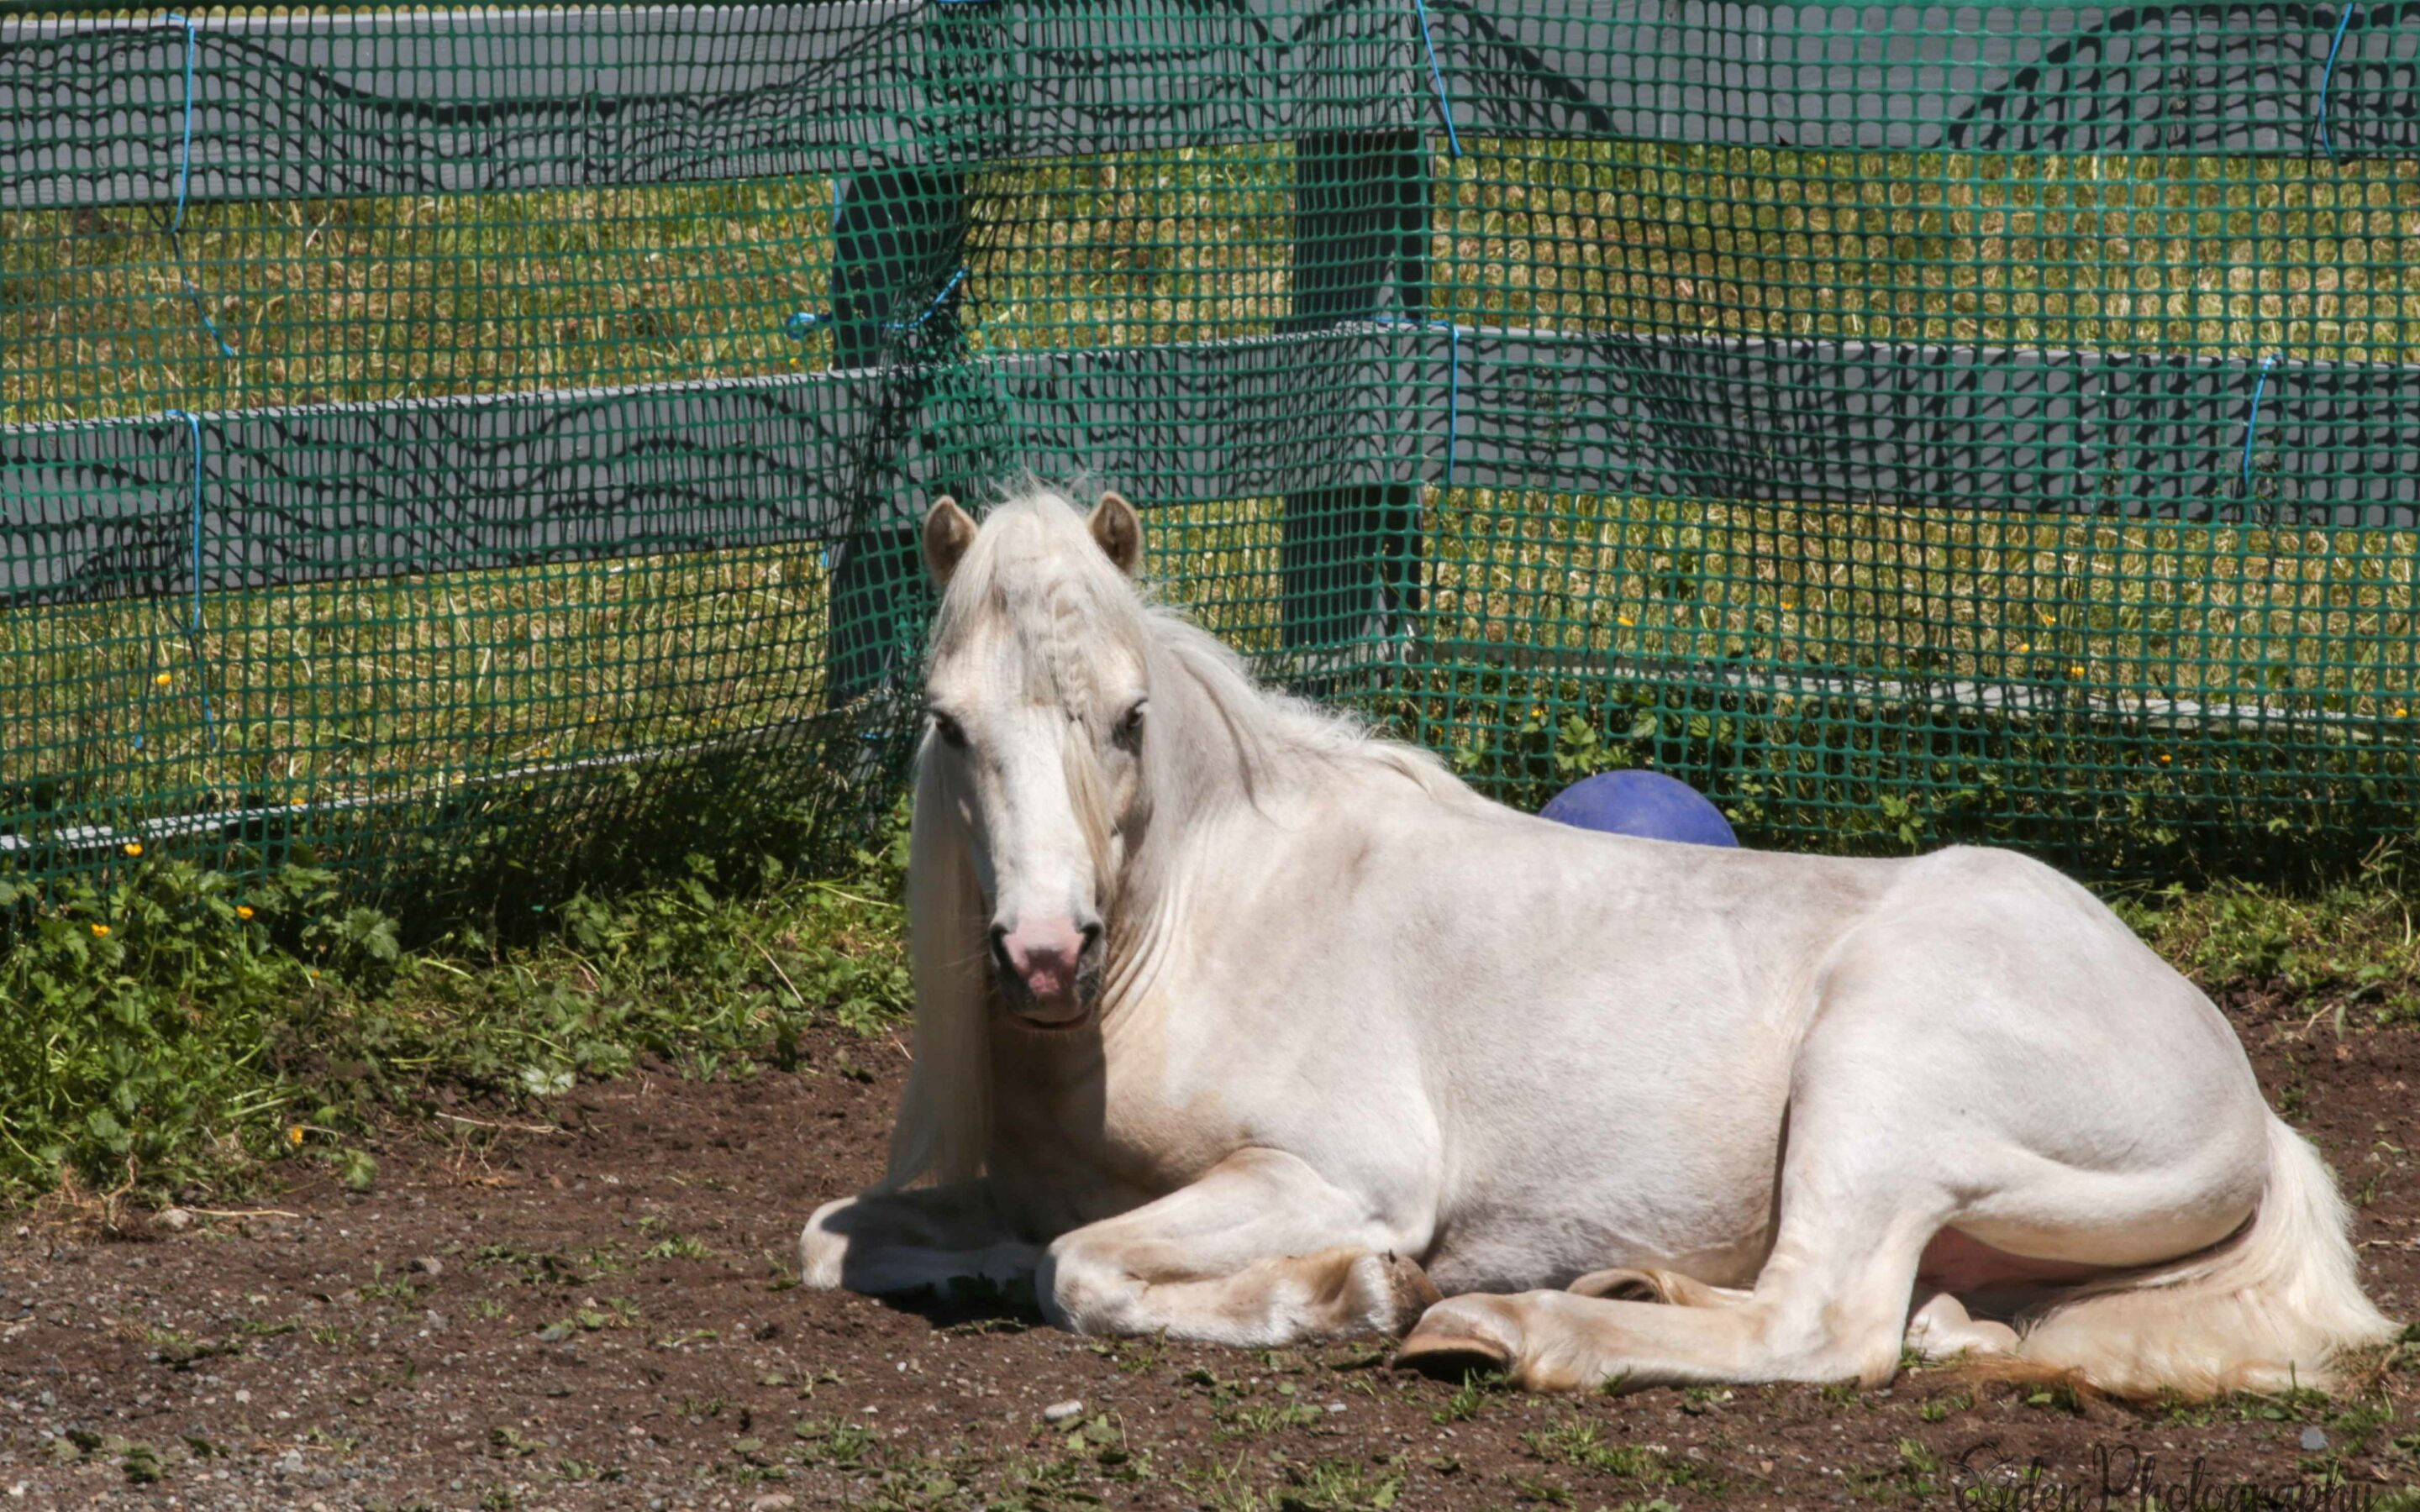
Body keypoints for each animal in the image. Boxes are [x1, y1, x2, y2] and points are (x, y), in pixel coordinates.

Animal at [798, 484, 2400, 1393]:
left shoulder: (1332, 1176)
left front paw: (1357, 1296)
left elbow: (1081, 1272)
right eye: (949, 725)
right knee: (1912, 1318)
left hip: (1878, 1090)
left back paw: (1514, 1332)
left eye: (1130, 718)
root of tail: (2242, 1096)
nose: (1043, 954)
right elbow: (849, 1248)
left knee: (1821, 1330)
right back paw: (1620, 1290)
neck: (1201, 928)